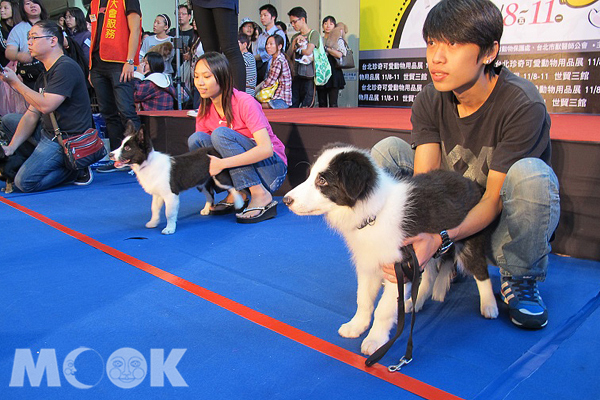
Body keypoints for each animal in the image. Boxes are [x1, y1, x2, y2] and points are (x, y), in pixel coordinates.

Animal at [110, 122, 244, 234]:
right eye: (121, 145)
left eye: (127, 148)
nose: (110, 154)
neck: (148, 163)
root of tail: (213, 149)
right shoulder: (158, 194)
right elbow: (154, 208)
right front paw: (153, 222)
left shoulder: (171, 194)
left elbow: (169, 213)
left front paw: (169, 229)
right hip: (201, 183)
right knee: (210, 194)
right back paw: (206, 209)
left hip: (219, 177)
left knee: (233, 187)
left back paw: (239, 202)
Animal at [284, 145, 500, 356]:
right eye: (310, 176)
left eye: (322, 180)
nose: (286, 200)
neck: (374, 213)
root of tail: (471, 183)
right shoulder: (369, 263)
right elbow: (363, 299)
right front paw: (356, 326)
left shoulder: (399, 267)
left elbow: (384, 309)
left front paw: (375, 340)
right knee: (429, 274)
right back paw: (416, 301)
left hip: (469, 240)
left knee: (480, 271)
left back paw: (489, 305)